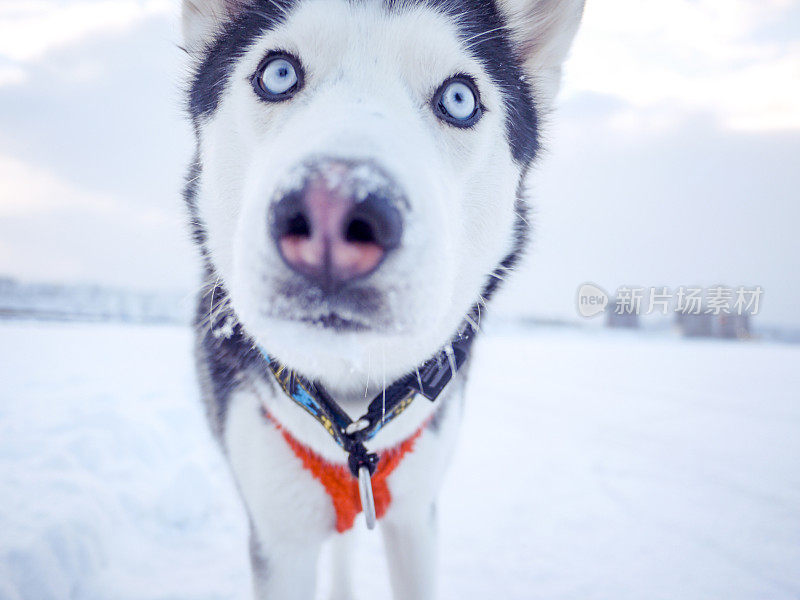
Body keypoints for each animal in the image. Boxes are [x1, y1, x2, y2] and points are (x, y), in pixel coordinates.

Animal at [181, 2, 580, 596]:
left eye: (459, 99)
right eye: (278, 73)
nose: (331, 212)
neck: (349, 420)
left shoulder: (415, 517)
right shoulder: (279, 535)